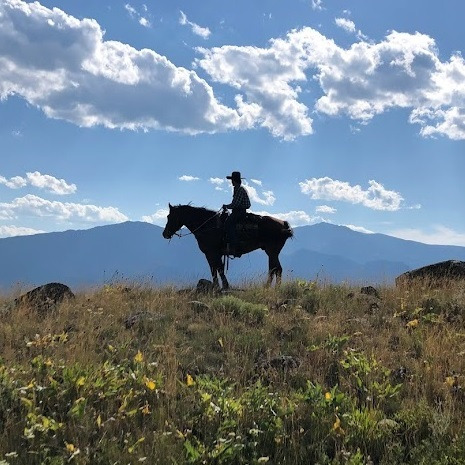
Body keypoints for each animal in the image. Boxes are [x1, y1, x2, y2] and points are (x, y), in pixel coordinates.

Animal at [160, 204, 290, 288]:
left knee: (276, 269)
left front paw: (220, 286)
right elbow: (216, 268)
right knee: (274, 269)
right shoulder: (215, 254)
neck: (208, 225)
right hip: (271, 252)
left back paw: (272, 288)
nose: (165, 234)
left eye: (169, 216)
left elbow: (217, 269)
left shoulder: (212, 253)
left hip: (272, 251)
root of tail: (283, 224)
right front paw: (220, 286)